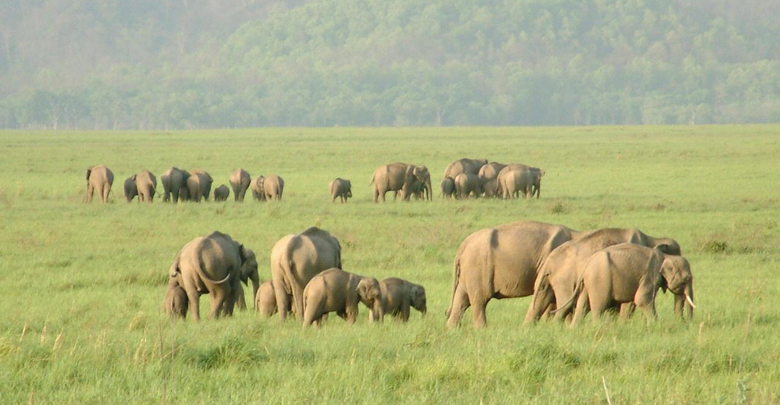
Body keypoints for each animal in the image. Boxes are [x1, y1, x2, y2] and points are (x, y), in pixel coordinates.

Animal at [446, 221, 585, 328]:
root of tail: (463, 245)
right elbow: (544, 290)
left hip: (468, 272)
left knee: (461, 299)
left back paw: (452, 330)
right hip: (477, 268)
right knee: (479, 300)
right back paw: (481, 329)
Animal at [525, 228, 682, 324]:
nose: (681, 322)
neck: (652, 239)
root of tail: (549, 261)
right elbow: (628, 304)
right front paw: (623, 324)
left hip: (548, 280)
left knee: (538, 302)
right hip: (565, 279)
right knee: (565, 304)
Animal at [556, 243, 695, 326]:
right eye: (686, 279)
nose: (685, 322)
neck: (666, 256)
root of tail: (586, 265)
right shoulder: (650, 276)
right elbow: (641, 299)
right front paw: (654, 324)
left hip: (588, 284)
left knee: (582, 306)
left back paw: (574, 328)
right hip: (600, 281)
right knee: (598, 306)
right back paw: (598, 327)